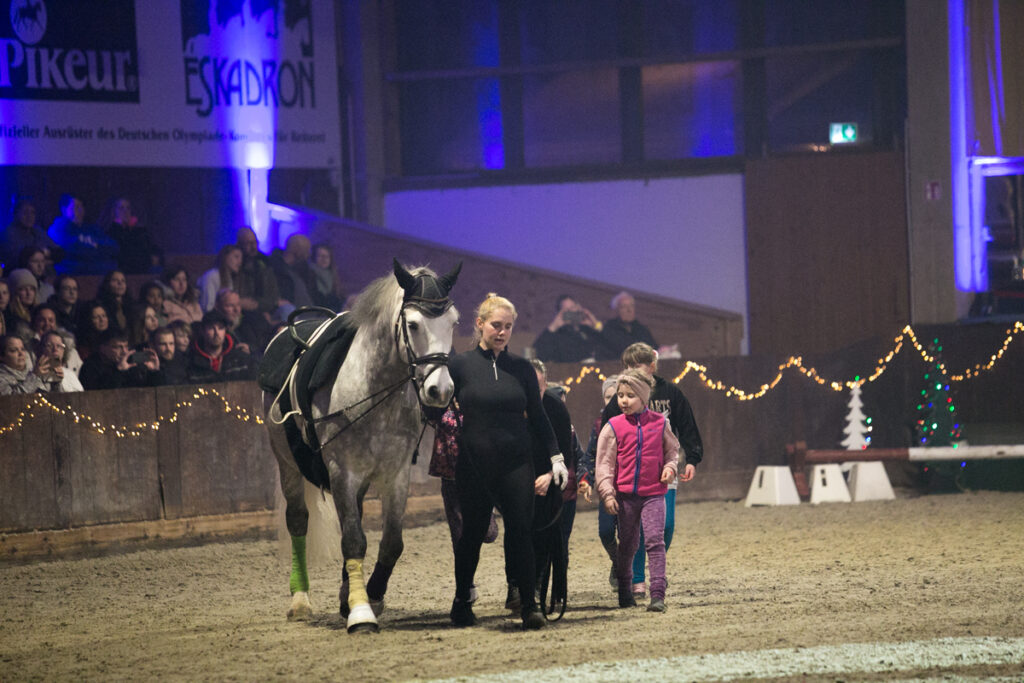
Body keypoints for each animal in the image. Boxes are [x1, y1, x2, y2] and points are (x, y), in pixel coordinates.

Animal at [262, 259, 460, 633]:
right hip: (287, 463)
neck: (374, 391)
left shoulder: (396, 475)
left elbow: (391, 542)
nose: (439, 390)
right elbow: (354, 540)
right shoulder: (342, 472)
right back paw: (301, 600)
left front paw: (372, 595)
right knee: (298, 520)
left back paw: (345, 593)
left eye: (453, 322)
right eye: (412, 324)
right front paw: (361, 612)